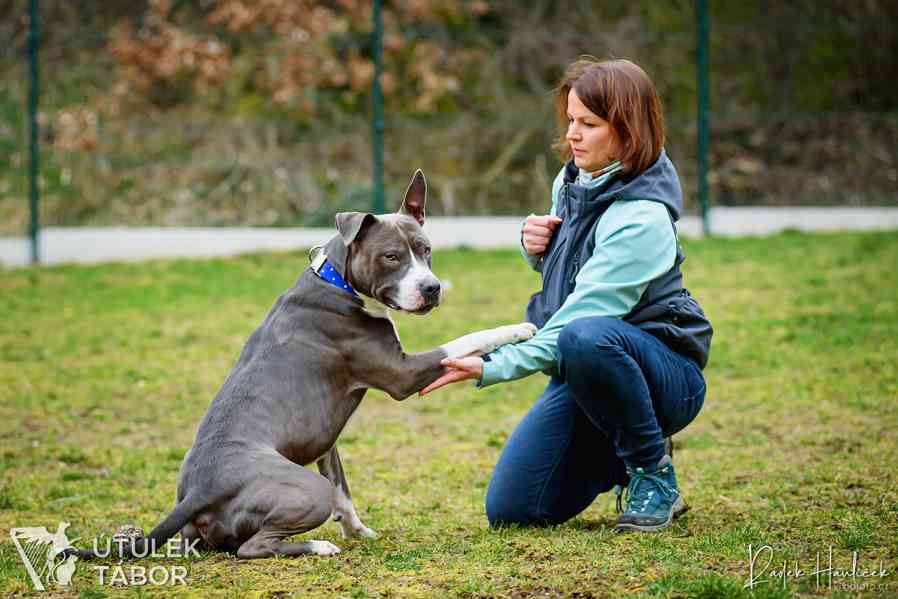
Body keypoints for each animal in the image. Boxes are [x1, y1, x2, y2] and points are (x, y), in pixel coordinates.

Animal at [75, 171, 532, 560]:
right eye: (391, 256)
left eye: (426, 250)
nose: (432, 288)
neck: (337, 281)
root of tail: (198, 492)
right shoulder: (402, 373)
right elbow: (465, 339)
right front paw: (518, 328)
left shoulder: (326, 441)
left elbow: (344, 489)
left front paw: (358, 531)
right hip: (306, 490)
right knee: (252, 548)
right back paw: (318, 547)